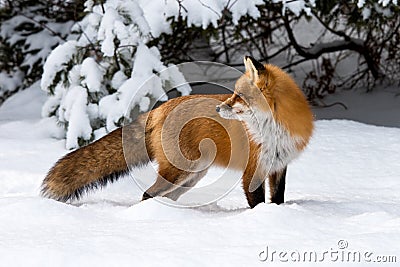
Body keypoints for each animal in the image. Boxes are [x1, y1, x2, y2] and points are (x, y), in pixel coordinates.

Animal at [43, 56, 312, 208]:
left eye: (239, 96)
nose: (218, 108)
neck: (274, 130)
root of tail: (159, 108)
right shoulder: (252, 169)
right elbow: (256, 203)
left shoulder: (278, 166)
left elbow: (278, 199)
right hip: (179, 172)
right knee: (147, 194)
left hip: (191, 176)